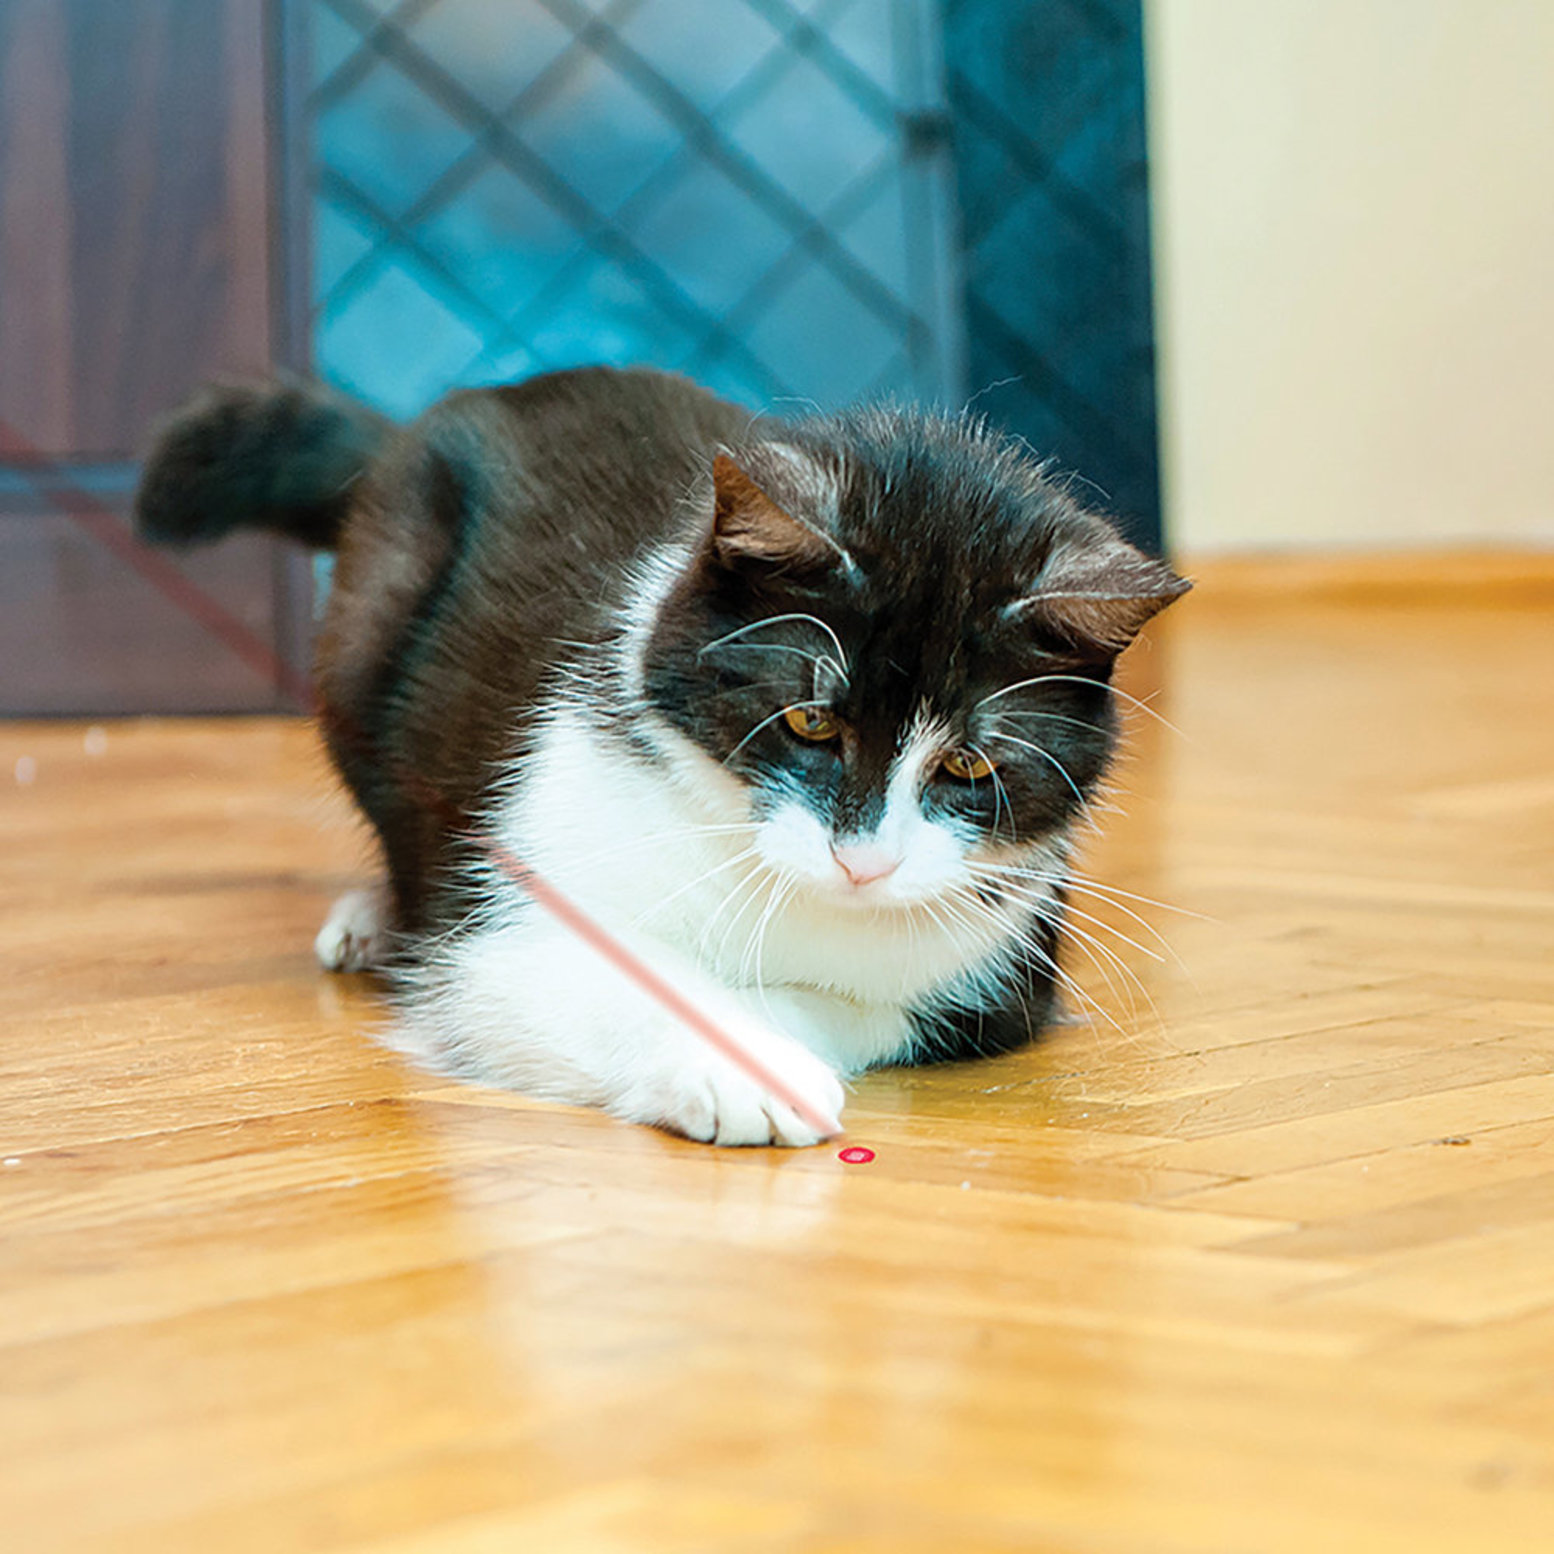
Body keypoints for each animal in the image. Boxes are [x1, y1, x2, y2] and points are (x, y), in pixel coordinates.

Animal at [142, 363, 1187, 1143]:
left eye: (970, 767)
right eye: (810, 723)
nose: (865, 863)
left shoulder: (1006, 970)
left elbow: (874, 1005)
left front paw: (767, 1032)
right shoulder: (508, 915)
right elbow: (546, 972)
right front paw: (728, 1065)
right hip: (373, 616)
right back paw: (378, 917)